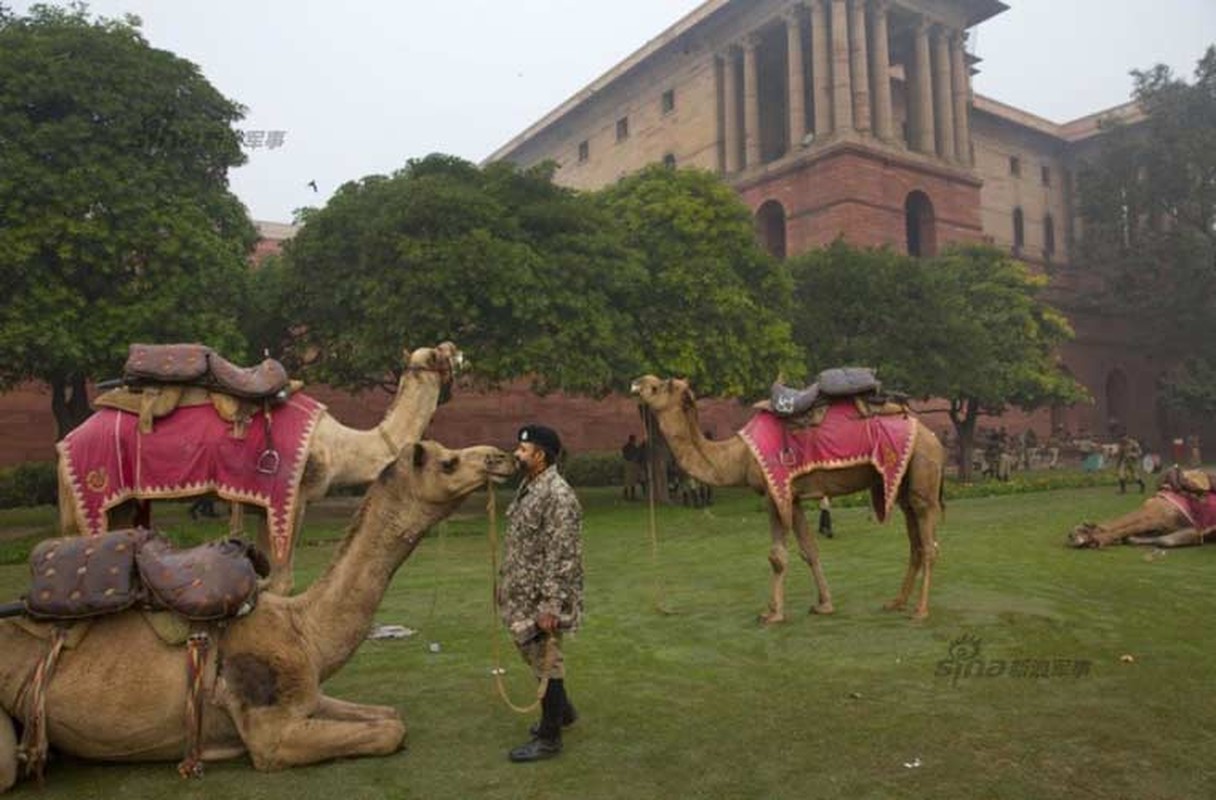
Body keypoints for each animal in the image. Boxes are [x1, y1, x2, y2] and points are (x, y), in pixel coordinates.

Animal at [0, 440, 518, 787]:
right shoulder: (271, 732)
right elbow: (390, 731)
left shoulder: (305, 696)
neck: (301, 628)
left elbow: (390, 715)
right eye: (449, 461)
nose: (502, 456)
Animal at [52, 340, 462, 588]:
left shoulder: (266, 504)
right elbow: (281, 579)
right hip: (94, 492)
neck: (339, 445)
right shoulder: (290, 496)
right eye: (441, 356)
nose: (459, 353)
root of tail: (64, 443)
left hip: (121, 504)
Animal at [632, 372, 943, 617]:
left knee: (928, 542)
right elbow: (809, 550)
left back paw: (920, 610)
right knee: (915, 542)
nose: (637, 383)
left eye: (660, 385)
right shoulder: (792, 497)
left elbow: (777, 556)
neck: (738, 456)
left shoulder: (775, 491)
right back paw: (896, 603)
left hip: (922, 469)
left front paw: (772, 613)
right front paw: (824, 605)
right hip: (903, 483)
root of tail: (932, 436)